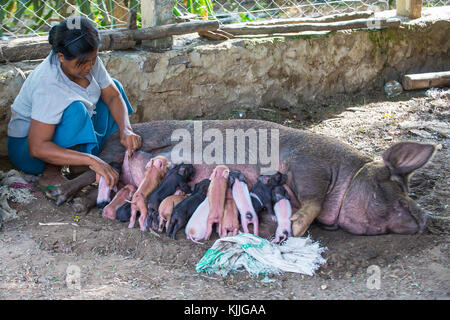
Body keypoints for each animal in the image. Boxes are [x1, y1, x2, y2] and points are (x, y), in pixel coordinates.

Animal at [46, 121, 436, 236]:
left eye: (409, 189)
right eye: (396, 187)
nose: (425, 217)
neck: (348, 172)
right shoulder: (311, 166)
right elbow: (313, 199)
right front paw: (293, 227)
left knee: (105, 186)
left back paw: (74, 204)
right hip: (115, 151)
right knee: (94, 170)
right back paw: (57, 196)